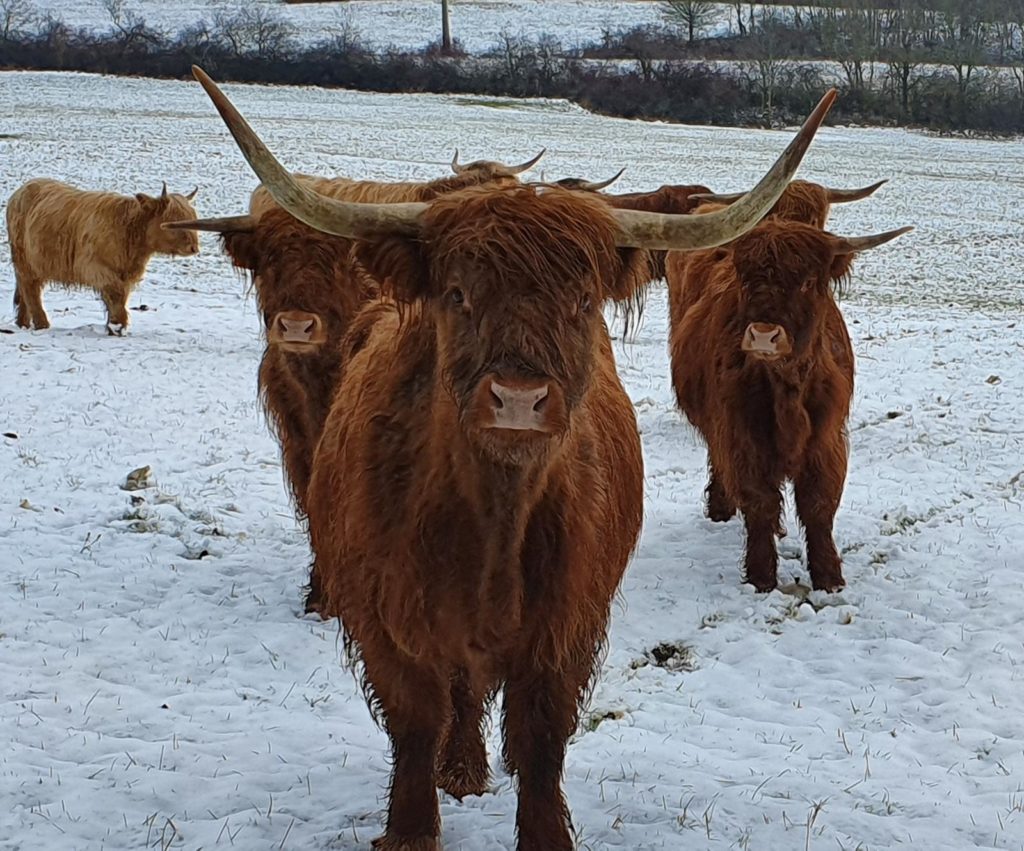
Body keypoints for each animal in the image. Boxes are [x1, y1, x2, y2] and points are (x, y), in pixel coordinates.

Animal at [7, 178, 199, 333]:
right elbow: (115, 293)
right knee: (30, 290)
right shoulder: (94, 267)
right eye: (173, 220)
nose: (194, 247)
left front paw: (115, 326)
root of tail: (21, 190)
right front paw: (117, 325)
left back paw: (23, 323)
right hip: (24, 261)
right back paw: (41, 324)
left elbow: (120, 296)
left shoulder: (126, 274)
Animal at [192, 68, 839, 851]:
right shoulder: (388, 620)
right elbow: (416, 723)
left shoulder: (567, 624)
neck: (493, 514)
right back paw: (461, 769)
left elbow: (540, 735)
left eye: (582, 297)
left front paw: (543, 832)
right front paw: (413, 829)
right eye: (458, 293)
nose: (519, 399)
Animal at [671, 219, 913, 593]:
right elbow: (760, 501)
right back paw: (721, 508)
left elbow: (819, 503)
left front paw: (829, 577)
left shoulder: (826, 441)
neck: (787, 389)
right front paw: (761, 577)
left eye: (808, 281)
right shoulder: (741, 435)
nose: (763, 335)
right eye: (745, 279)